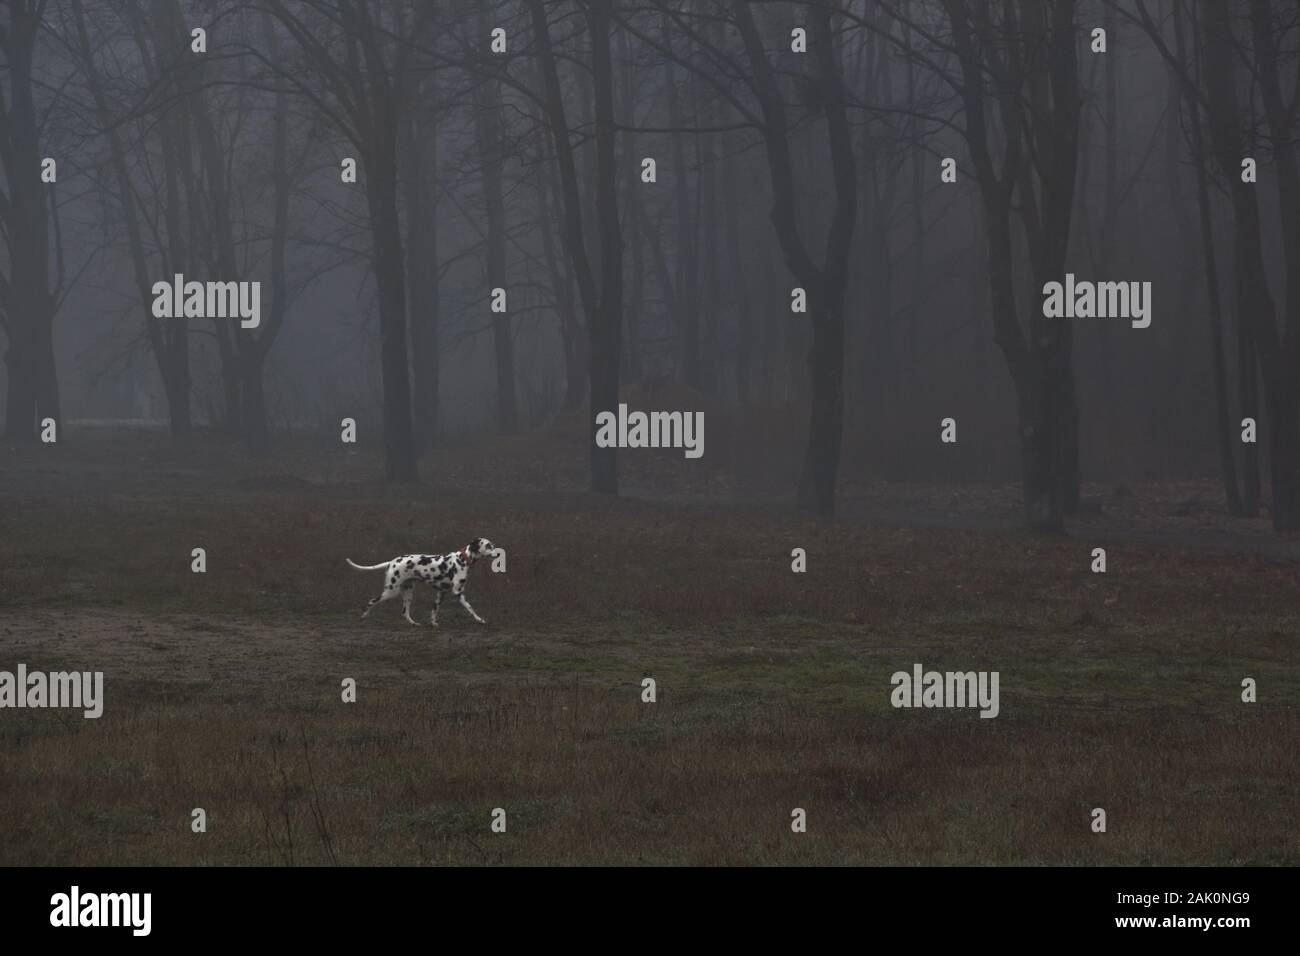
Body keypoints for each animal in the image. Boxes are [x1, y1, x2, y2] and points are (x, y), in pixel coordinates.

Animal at [348, 538, 493, 629]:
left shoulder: (441, 593)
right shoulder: (458, 593)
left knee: (404, 612)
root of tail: (392, 562)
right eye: (488, 545)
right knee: (372, 601)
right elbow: (470, 608)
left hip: (408, 593)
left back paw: (414, 624)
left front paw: (433, 624)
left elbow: (434, 611)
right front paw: (480, 620)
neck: (462, 559)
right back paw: (363, 617)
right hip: (391, 591)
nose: (496, 552)